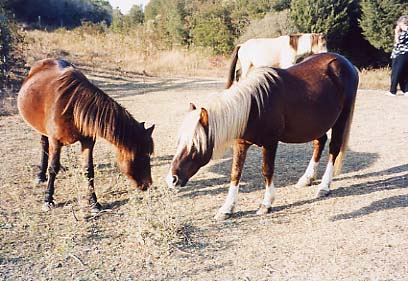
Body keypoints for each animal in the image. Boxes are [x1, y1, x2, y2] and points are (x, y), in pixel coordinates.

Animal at [17, 59, 155, 212]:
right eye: (142, 156)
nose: (148, 184)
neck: (72, 106)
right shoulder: (55, 140)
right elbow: (52, 169)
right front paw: (48, 199)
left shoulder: (88, 141)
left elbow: (88, 170)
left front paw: (94, 203)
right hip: (43, 132)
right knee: (44, 146)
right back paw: (41, 175)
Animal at [165, 52, 356, 219]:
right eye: (179, 142)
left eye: (196, 145)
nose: (172, 179)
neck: (254, 106)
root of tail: (346, 63)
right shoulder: (241, 143)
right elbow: (235, 173)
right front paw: (227, 209)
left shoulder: (270, 143)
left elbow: (267, 171)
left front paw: (266, 204)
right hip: (316, 124)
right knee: (320, 142)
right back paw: (307, 179)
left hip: (342, 119)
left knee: (334, 148)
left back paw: (324, 186)